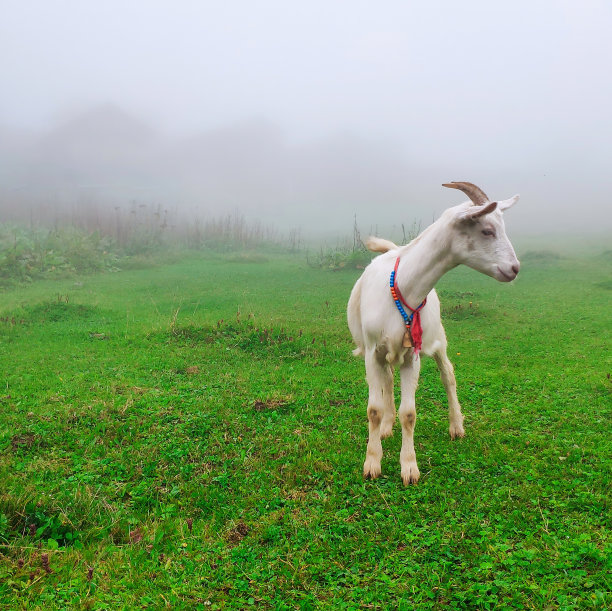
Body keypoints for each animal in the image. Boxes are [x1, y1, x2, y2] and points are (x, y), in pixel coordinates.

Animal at [346, 179, 520, 486]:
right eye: (487, 230)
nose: (514, 268)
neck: (404, 285)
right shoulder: (372, 351)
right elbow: (374, 409)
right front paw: (372, 462)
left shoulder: (412, 353)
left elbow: (409, 413)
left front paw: (409, 467)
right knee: (388, 380)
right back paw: (387, 427)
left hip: (437, 338)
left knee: (448, 375)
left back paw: (456, 425)